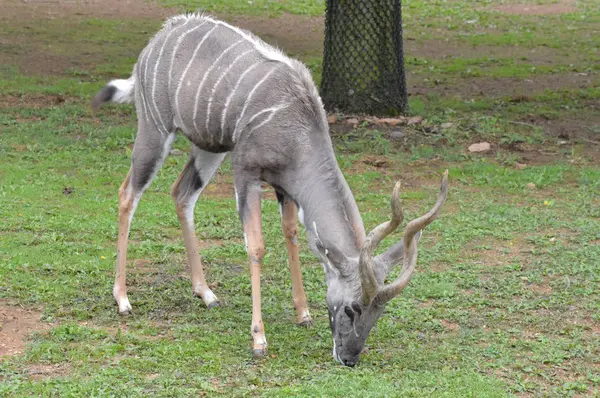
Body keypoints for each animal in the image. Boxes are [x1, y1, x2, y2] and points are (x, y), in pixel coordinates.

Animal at [94, 14, 448, 366]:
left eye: (379, 311)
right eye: (351, 308)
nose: (349, 358)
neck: (298, 128)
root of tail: (158, 38)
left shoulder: (285, 186)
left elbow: (291, 233)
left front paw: (303, 313)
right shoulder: (246, 172)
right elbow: (256, 246)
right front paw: (259, 339)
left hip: (209, 147)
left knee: (181, 195)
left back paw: (206, 293)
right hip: (155, 131)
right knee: (127, 194)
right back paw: (122, 299)